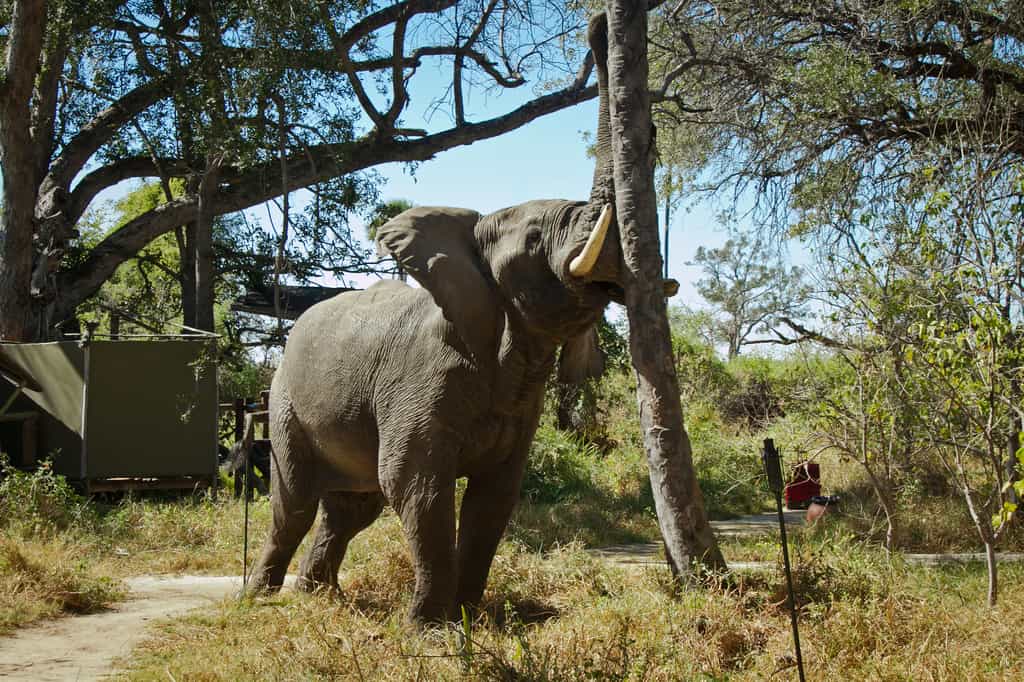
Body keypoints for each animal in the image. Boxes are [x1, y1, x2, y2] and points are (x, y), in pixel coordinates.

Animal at [248, 13, 665, 624]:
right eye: (535, 238)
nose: (596, 25)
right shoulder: (419, 380)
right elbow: (417, 487)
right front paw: (430, 628)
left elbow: (495, 496)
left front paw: (471, 617)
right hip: (284, 404)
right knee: (295, 501)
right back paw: (259, 598)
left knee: (351, 507)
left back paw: (319, 596)